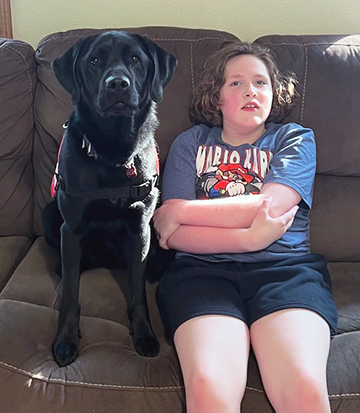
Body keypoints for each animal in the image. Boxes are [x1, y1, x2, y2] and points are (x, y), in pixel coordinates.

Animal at [43, 30, 177, 366]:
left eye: (135, 60)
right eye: (93, 61)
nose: (117, 84)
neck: (113, 154)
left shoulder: (140, 230)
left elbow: (138, 293)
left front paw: (144, 333)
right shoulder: (71, 230)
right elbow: (71, 295)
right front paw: (65, 339)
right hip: (50, 216)